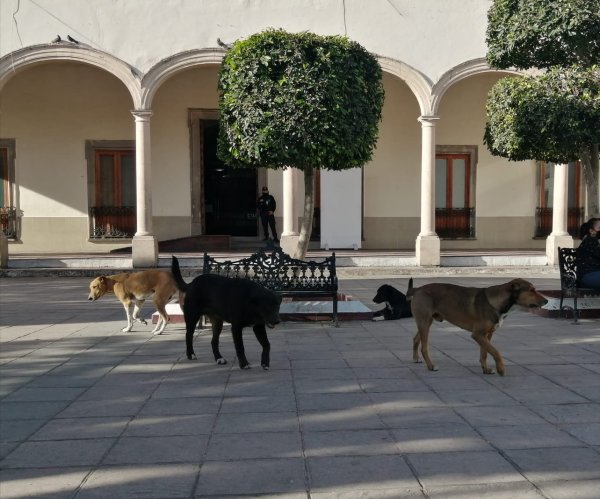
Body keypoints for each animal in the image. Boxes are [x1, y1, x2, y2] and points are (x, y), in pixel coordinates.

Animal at [408, 280, 548, 376]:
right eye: (532, 290)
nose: (547, 301)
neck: (496, 302)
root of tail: (418, 288)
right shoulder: (478, 335)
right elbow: (496, 352)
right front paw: (501, 369)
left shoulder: (486, 335)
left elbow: (485, 353)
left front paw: (486, 369)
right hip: (425, 322)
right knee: (424, 347)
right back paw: (431, 366)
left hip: (426, 322)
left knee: (415, 339)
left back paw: (416, 358)